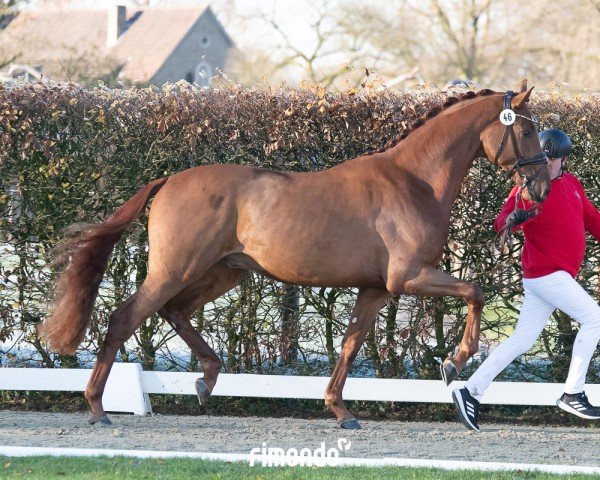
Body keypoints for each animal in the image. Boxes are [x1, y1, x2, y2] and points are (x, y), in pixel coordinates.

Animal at [39, 81, 552, 428]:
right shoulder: (408, 276)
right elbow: (475, 291)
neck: (415, 181)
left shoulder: (375, 290)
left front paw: (341, 410)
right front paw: (454, 361)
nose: (542, 187)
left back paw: (207, 379)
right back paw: (98, 407)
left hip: (225, 272)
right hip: (175, 268)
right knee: (126, 318)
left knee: (175, 311)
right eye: (528, 133)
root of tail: (168, 180)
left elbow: (350, 345)